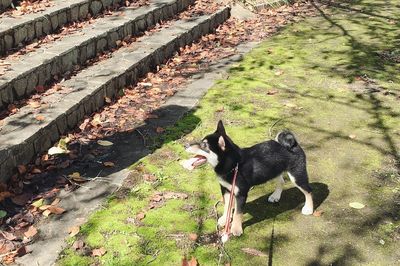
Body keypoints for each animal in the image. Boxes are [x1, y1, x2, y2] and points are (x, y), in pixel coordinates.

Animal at [184, 120, 312, 235]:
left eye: (204, 145)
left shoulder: (241, 194)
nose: (185, 145)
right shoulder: (225, 189)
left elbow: (237, 213)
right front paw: (225, 220)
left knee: (308, 190)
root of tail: (294, 144)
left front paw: (236, 229)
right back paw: (275, 196)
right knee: (281, 181)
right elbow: (227, 206)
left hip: (297, 176)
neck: (235, 165)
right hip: (274, 171)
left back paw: (309, 208)